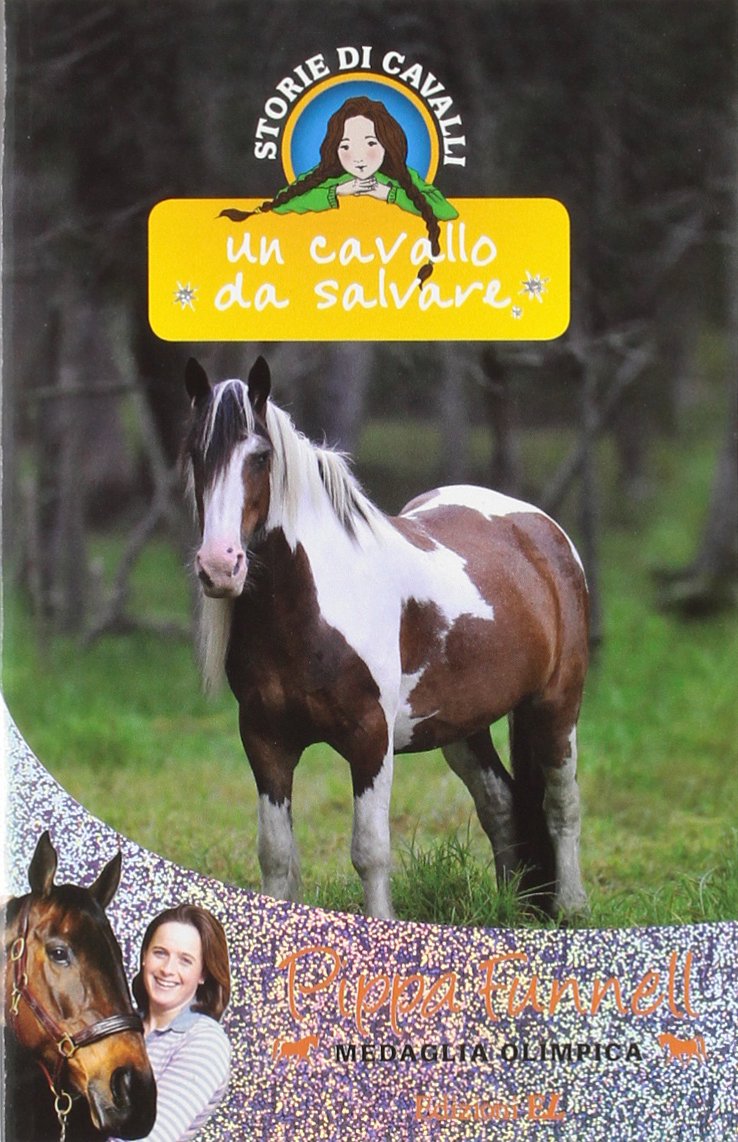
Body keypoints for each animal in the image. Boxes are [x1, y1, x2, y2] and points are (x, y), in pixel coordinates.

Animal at [182, 356, 589, 921]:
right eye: (195, 455)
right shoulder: (265, 740)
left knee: (561, 805)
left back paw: (572, 909)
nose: (220, 566)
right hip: (461, 726)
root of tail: (540, 530)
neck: (313, 609)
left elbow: (370, 851)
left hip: (555, 706)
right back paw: (511, 911)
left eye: (260, 457)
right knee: (501, 805)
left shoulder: (370, 738)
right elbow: (277, 855)